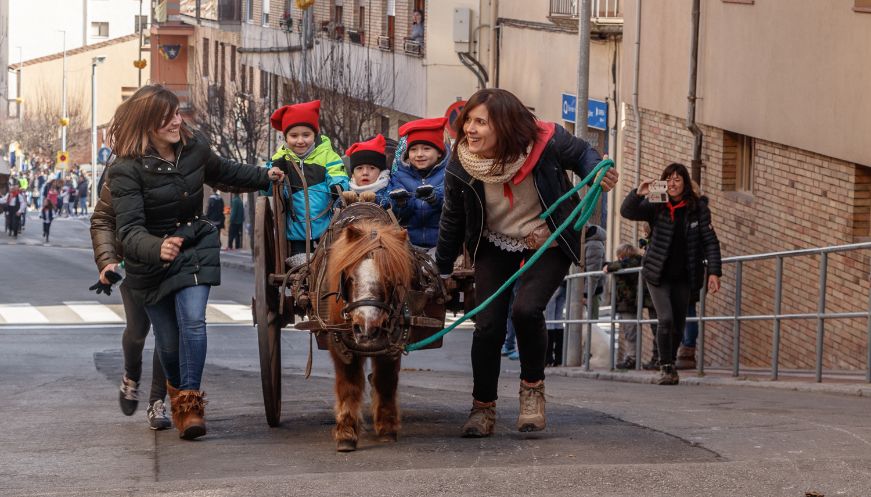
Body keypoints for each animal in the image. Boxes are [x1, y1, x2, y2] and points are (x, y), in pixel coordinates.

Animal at [324, 219, 416, 452]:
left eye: (390, 280)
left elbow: (386, 381)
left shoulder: (392, 345)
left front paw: (387, 428)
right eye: (350, 277)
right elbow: (348, 385)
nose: (366, 328)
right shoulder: (339, 344)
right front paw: (346, 433)